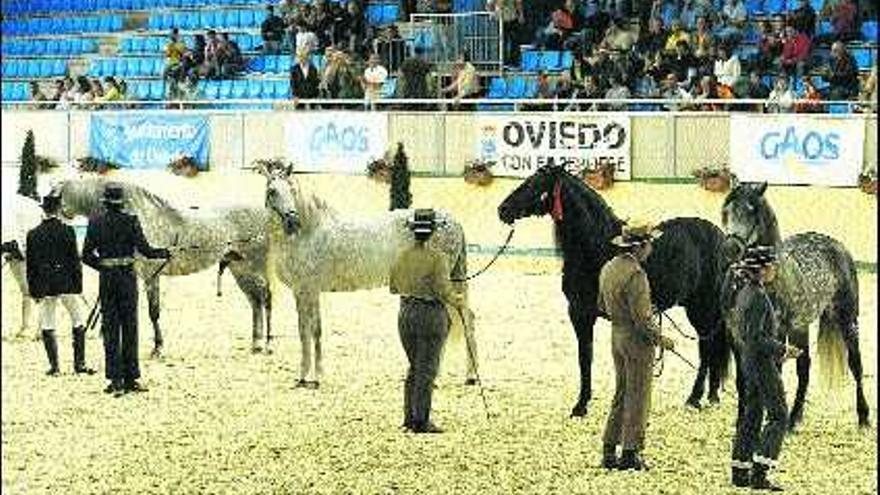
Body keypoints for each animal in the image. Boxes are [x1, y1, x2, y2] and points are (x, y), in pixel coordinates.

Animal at [262, 165, 482, 390]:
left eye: (292, 190)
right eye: (272, 191)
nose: (291, 220)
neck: (309, 232)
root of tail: (453, 222)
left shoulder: (309, 290)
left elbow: (313, 330)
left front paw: (314, 377)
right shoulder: (302, 292)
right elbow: (305, 330)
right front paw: (305, 376)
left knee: (465, 318)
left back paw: (469, 376)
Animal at [498, 168, 732, 418]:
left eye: (534, 184)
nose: (502, 210)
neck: (595, 246)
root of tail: (719, 237)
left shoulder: (581, 313)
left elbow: (585, 357)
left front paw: (580, 406)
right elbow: (586, 357)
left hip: (702, 308)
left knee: (707, 349)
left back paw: (694, 398)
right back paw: (712, 396)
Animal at [720, 183, 868, 430]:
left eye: (752, 211)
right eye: (726, 210)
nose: (731, 249)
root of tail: (836, 245)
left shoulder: (774, 334)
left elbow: (772, 376)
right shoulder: (735, 336)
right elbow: (743, 381)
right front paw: (742, 422)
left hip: (848, 320)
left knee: (856, 365)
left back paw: (864, 417)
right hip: (800, 327)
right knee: (804, 369)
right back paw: (794, 418)